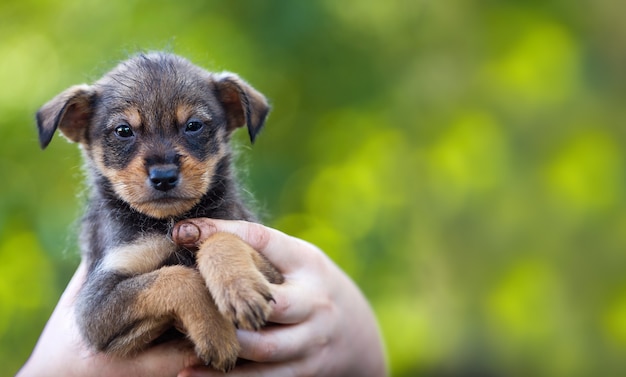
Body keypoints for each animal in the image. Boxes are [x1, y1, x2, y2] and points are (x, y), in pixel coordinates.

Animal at [36, 52, 282, 370]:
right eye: (123, 131)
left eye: (193, 125)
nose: (164, 177)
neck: (167, 222)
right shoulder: (94, 307)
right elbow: (179, 277)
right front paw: (216, 333)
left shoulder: (274, 271)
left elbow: (222, 239)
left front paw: (240, 289)